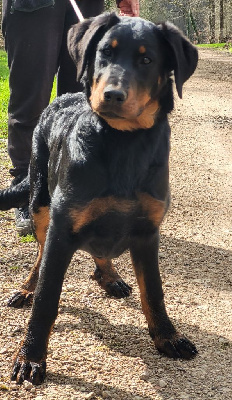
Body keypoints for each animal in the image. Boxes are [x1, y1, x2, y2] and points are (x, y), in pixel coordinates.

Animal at [0, 13, 199, 384]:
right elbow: (47, 299)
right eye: (104, 53)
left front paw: (168, 337)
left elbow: (154, 291)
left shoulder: (148, 232)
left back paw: (109, 275)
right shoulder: (62, 228)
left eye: (147, 60)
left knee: (100, 249)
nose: (112, 95)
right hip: (40, 202)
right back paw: (27, 287)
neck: (122, 143)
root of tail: (63, 96)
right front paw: (30, 356)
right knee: (39, 253)